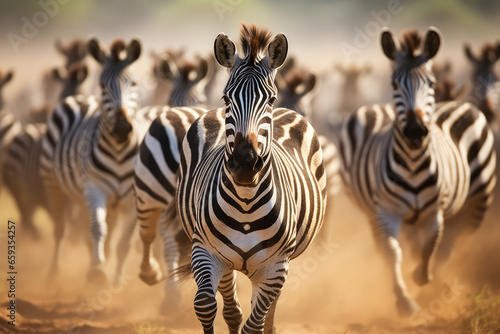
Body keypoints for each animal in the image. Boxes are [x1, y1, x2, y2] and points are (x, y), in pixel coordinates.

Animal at [40, 37, 151, 282]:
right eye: (102, 85)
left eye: (134, 84)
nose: (122, 127)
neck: (119, 151)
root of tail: (80, 96)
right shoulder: (94, 188)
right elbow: (98, 229)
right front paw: (97, 270)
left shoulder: (132, 198)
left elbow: (124, 241)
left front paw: (116, 278)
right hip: (53, 183)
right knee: (60, 230)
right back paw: (53, 274)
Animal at [176, 24, 328, 334]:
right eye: (226, 98)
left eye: (270, 99)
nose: (245, 163)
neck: (246, 204)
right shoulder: (205, 252)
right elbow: (205, 305)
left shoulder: (275, 267)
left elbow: (255, 324)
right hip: (226, 261)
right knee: (231, 308)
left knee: (264, 313)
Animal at [336, 26, 496, 316]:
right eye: (394, 84)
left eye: (430, 83)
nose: (414, 131)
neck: (412, 163)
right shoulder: (387, 210)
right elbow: (393, 252)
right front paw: (403, 298)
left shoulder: (434, 212)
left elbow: (430, 246)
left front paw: (422, 277)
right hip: (372, 210)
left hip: (478, 201)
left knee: (453, 245)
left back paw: (438, 284)